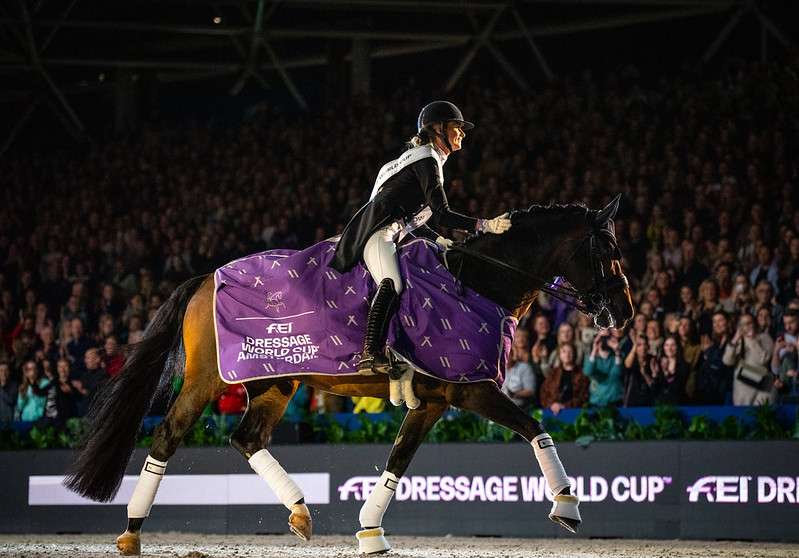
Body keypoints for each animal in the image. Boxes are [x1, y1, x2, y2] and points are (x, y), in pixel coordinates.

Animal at [65, 197, 636, 556]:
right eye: (607, 251)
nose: (626, 313)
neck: (477, 281)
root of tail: (207, 277)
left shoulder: (433, 400)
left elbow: (399, 461)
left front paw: (370, 532)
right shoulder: (470, 389)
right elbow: (536, 428)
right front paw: (567, 505)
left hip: (275, 382)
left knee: (247, 439)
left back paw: (300, 513)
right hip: (208, 380)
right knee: (166, 436)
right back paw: (131, 534)